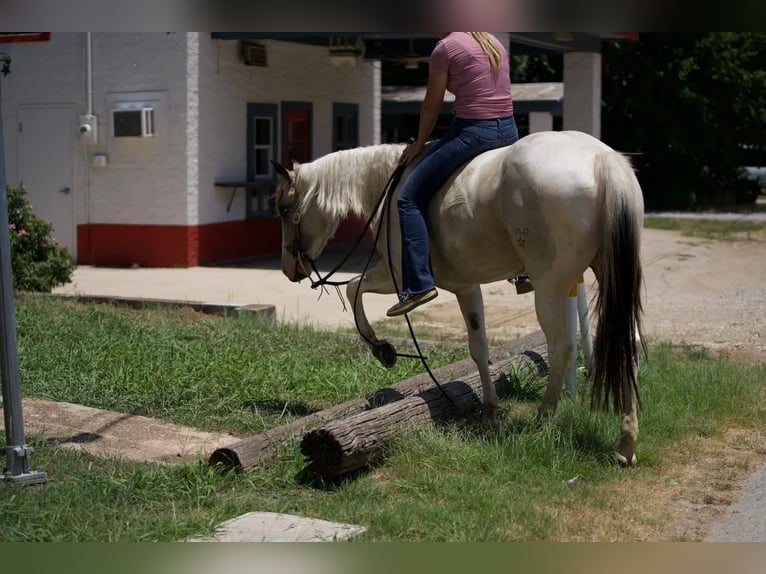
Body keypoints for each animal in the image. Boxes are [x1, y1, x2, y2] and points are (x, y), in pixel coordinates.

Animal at [272, 132, 644, 468]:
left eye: (284, 209)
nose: (289, 269)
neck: (387, 188)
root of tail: (602, 159)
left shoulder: (394, 275)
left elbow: (353, 288)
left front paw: (382, 348)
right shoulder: (467, 288)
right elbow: (479, 349)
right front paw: (490, 411)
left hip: (551, 285)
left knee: (562, 349)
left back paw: (545, 418)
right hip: (608, 273)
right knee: (629, 342)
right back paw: (626, 441)